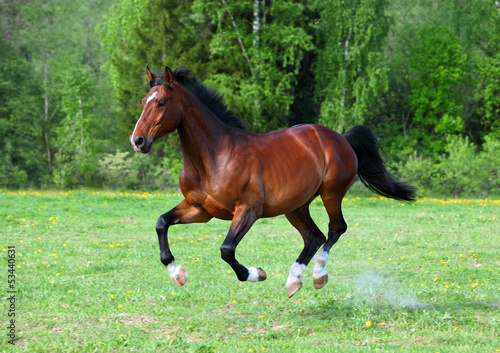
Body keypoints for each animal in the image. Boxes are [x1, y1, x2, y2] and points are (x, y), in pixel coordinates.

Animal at [129, 66, 414, 296]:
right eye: (143, 101)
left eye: (162, 102)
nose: (138, 141)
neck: (215, 156)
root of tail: (340, 138)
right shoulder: (200, 210)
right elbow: (161, 223)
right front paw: (177, 273)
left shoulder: (248, 210)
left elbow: (226, 249)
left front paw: (257, 273)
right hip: (295, 206)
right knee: (314, 236)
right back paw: (293, 280)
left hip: (331, 194)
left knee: (335, 229)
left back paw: (318, 276)